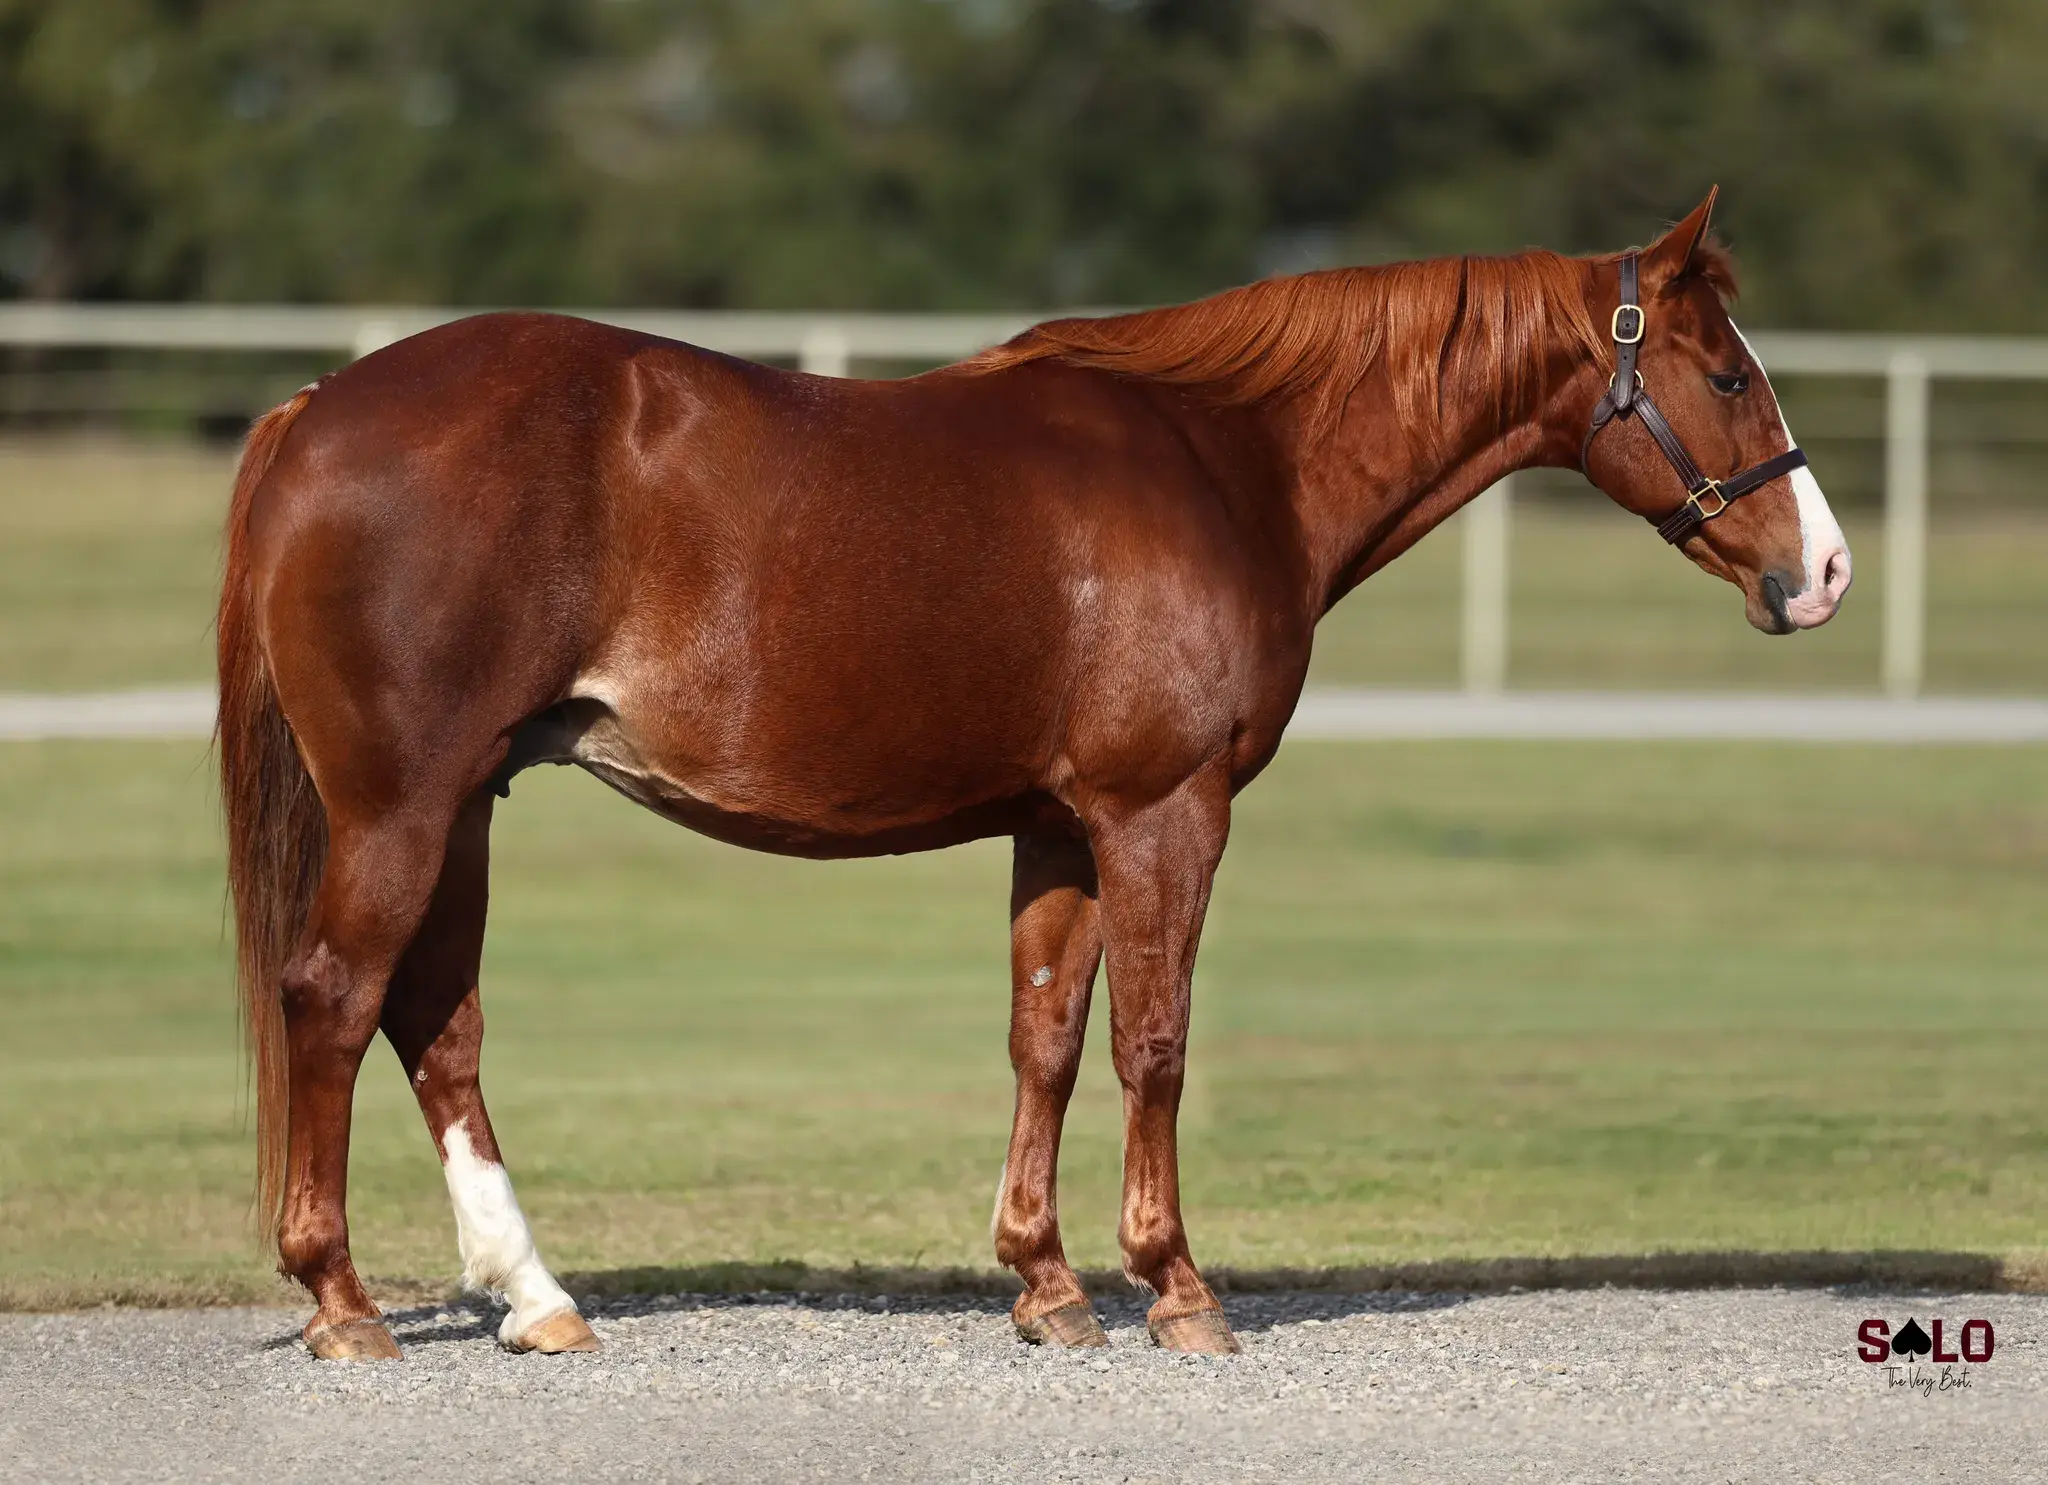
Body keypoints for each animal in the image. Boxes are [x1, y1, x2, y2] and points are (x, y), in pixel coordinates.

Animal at [217, 188, 1850, 1362]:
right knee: (336, 999)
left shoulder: (1062, 828)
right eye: (1724, 372)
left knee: (435, 1024)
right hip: (403, 808)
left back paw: (537, 1299)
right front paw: (1176, 1287)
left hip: (463, 805)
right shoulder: (1164, 812)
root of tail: (317, 409)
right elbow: (1155, 1043)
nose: (1822, 571)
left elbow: (1047, 1040)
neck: (1228, 458)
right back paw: (344, 1304)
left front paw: (1046, 1284)